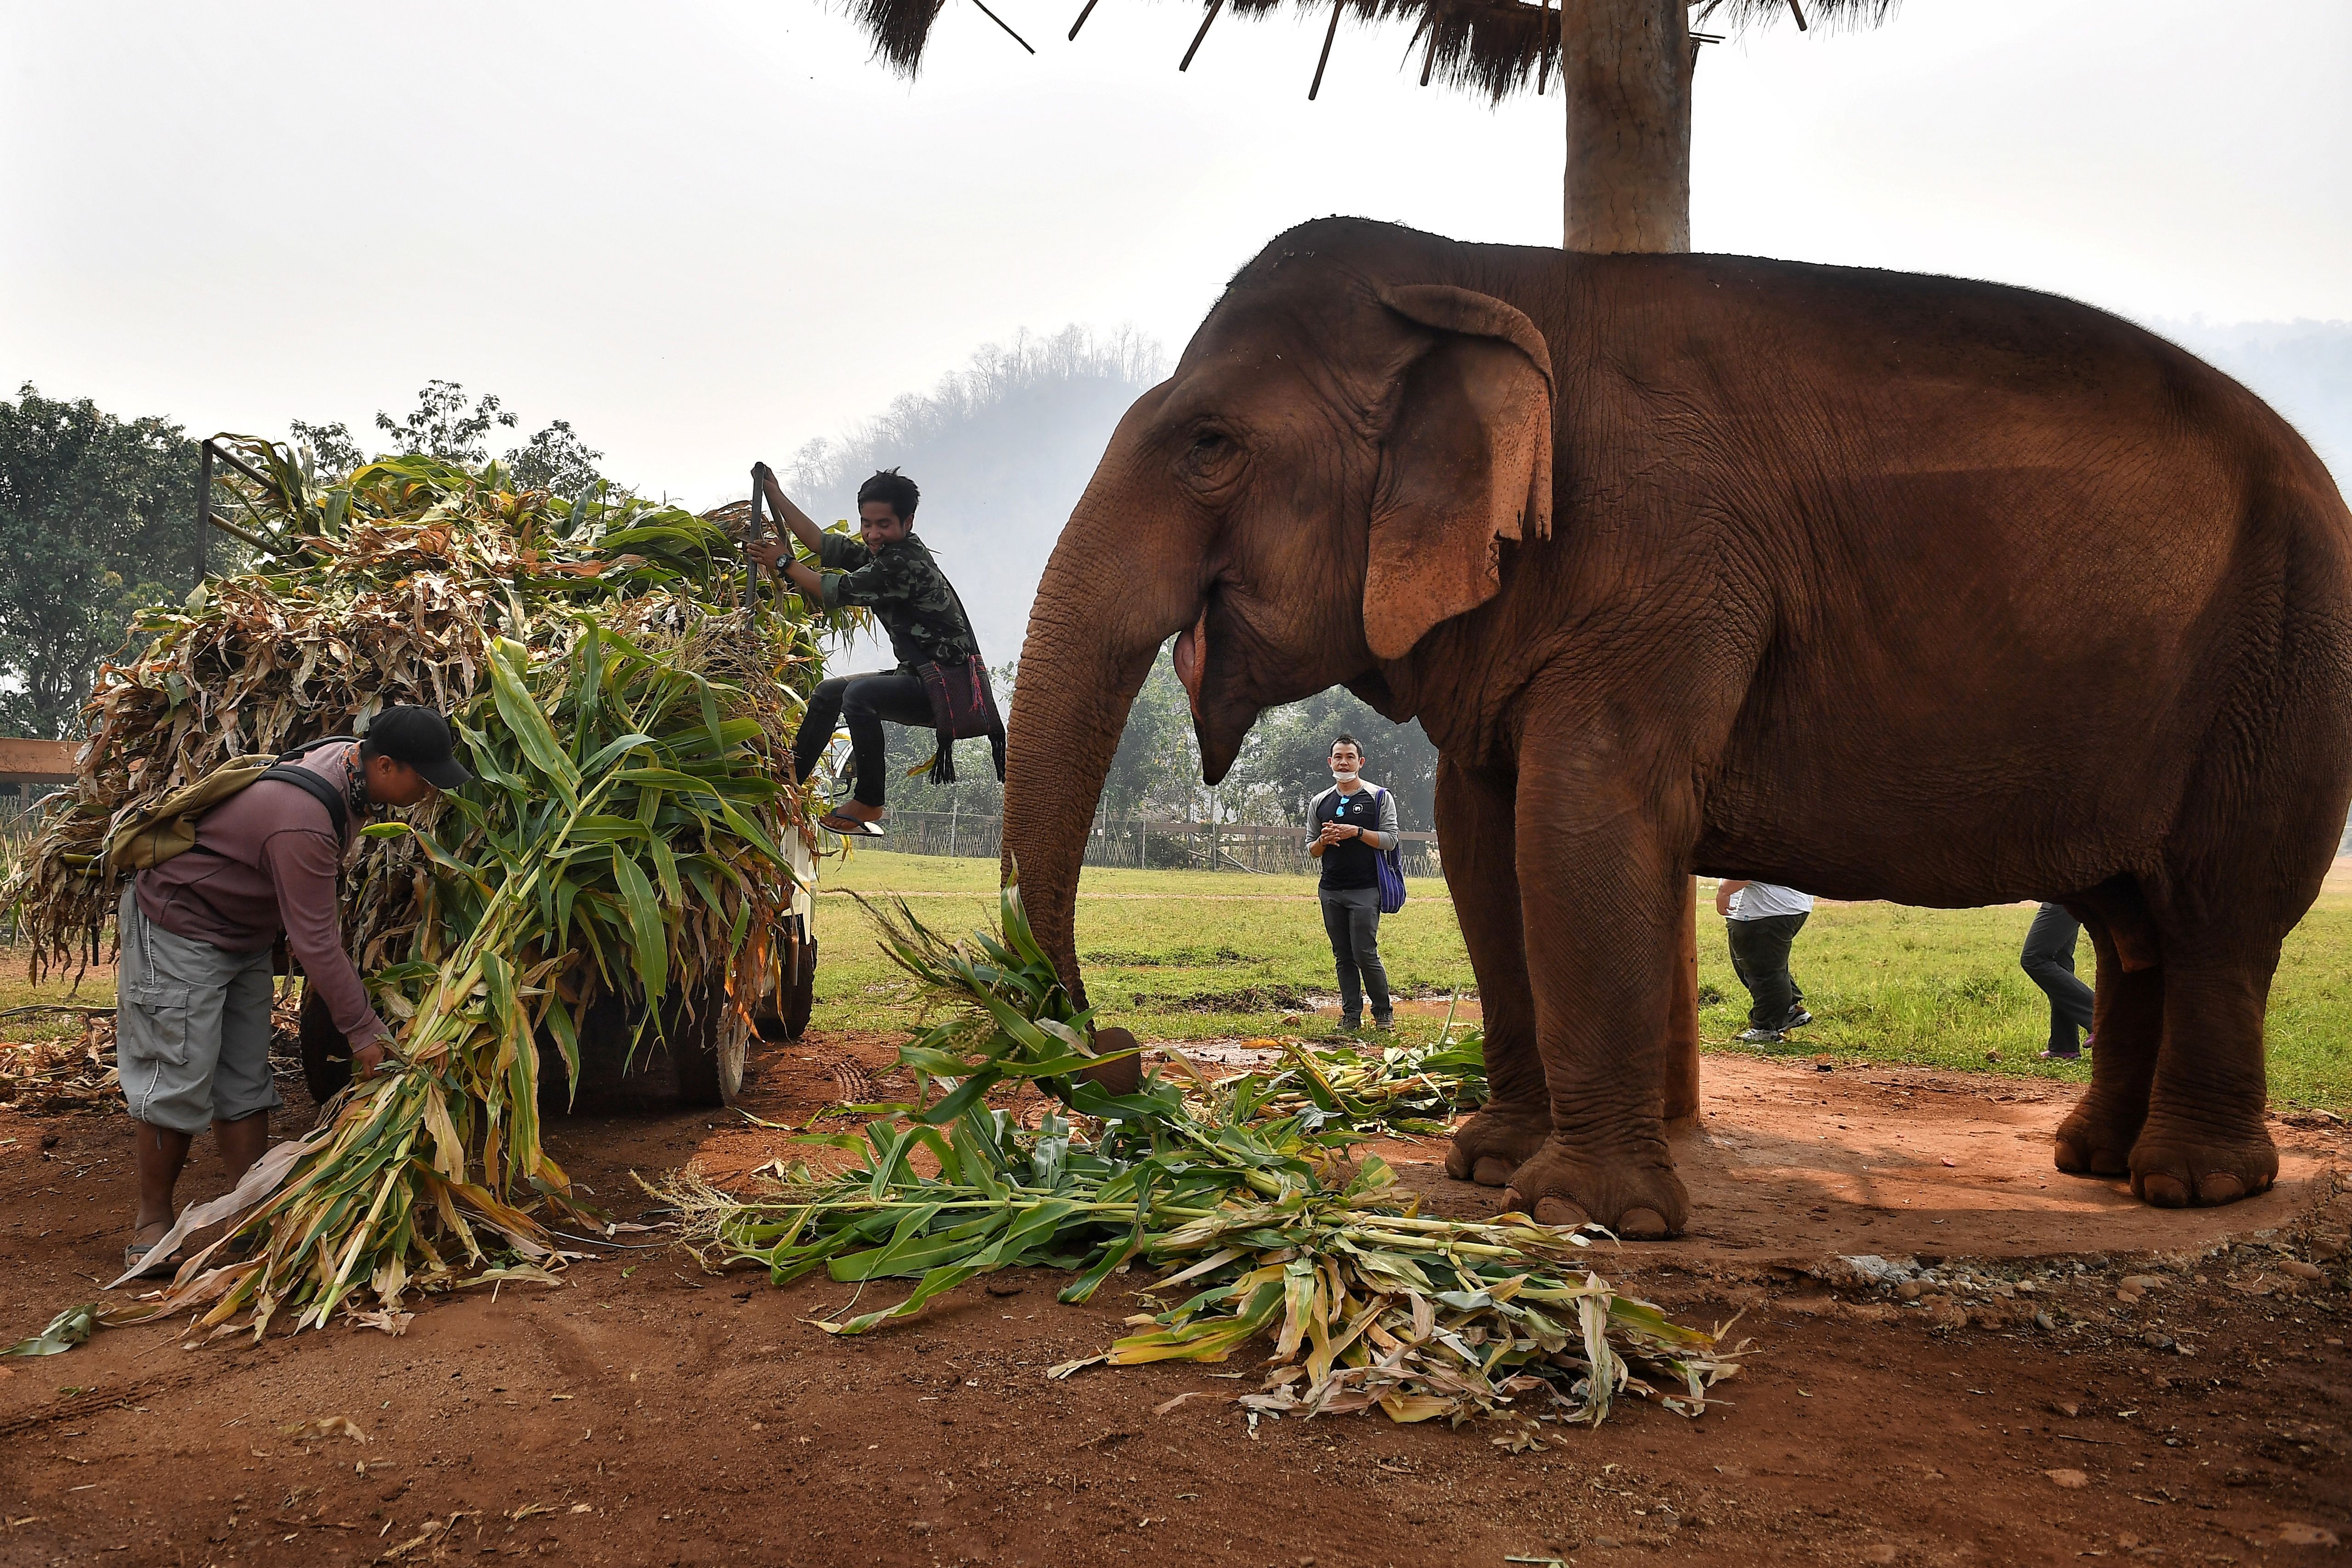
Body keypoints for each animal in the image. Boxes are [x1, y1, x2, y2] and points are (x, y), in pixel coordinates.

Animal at [1002, 217, 2352, 1241]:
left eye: (1210, 443)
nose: (1115, 1054)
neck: (1471, 270)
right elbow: (1483, 838)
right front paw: (1486, 1164)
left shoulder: (1666, 563)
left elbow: (1581, 825)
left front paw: (1583, 1212)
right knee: (2134, 924)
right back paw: (2092, 1159)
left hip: (2282, 663)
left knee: (2215, 912)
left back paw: (2192, 1185)